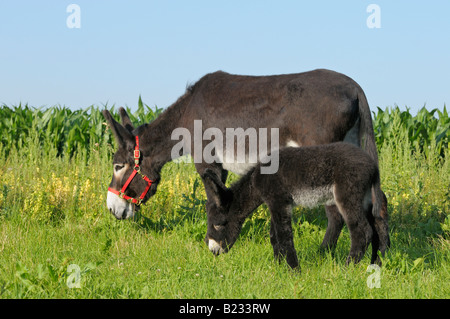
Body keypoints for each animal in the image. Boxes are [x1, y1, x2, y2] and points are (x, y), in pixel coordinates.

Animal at [205, 142, 390, 270]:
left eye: (218, 225)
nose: (213, 251)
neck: (256, 180)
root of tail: (373, 166)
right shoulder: (278, 204)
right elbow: (274, 236)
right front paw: (278, 266)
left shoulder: (278, 201)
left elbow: (284, 236)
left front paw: (294, 271)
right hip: (365, 199)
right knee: (378, 225)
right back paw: (378, 263)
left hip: (348, 196)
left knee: (362, 232)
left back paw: (347, 269)